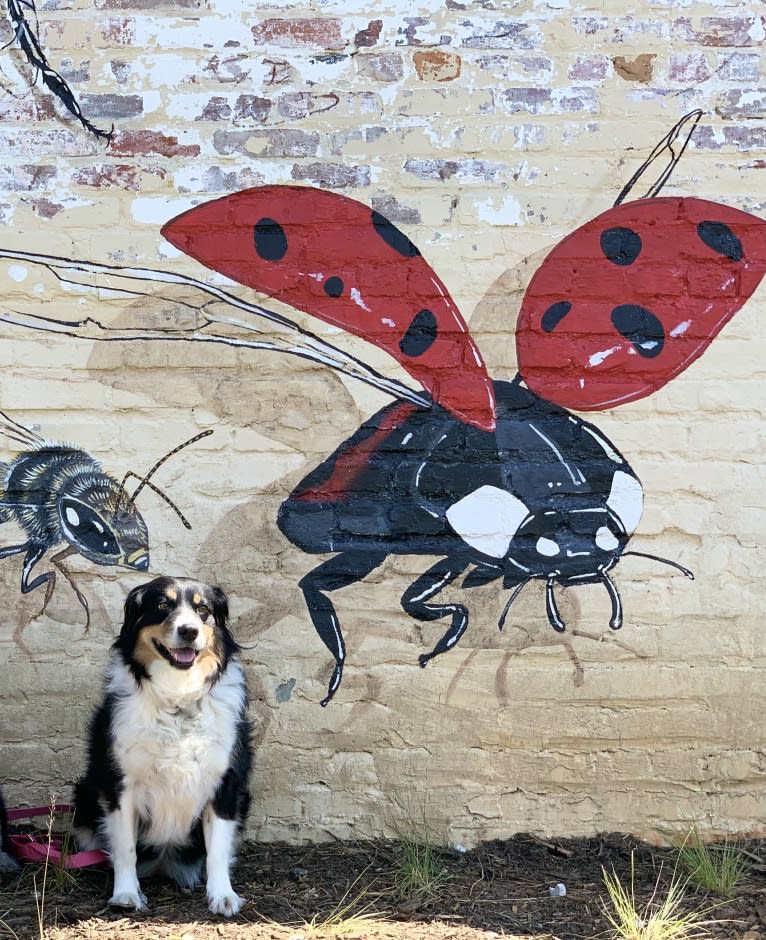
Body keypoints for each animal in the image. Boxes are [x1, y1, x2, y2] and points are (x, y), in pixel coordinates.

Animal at [72, 576, 252, 916]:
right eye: (162, 606)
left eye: (203, 610)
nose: (189, 631)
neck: (177, 698)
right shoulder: (120, 785)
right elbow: (125, 848)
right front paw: (126, 893)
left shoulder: (225, 784)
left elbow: (218, 851)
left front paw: (223, 894)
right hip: (85, 794)